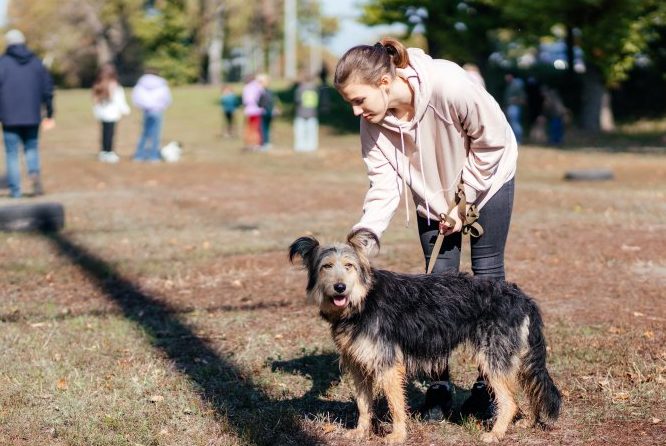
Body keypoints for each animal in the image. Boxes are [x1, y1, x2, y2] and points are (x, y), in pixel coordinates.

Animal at [290, 230, 560, 442]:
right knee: (531, 387)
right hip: (517, 356)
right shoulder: (357, 364)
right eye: (326, 266)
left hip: (493, 356)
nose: (340, 288)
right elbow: (363, 404)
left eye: (349, 266)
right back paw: (529, 421)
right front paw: (360, 432)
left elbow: (395, 403)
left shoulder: (388, 364)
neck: (362, 300)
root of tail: (522, 298)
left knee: (510, 401)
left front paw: (397, 436)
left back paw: (496, 433)